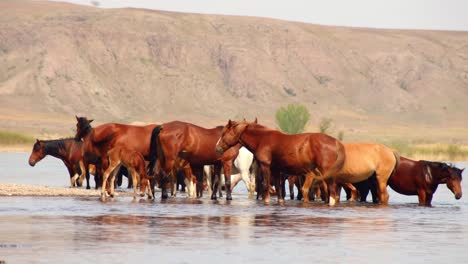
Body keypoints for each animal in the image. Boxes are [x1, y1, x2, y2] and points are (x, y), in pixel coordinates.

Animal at [215, 119, 344, 204]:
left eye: (224, 134)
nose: (217, 148)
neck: (262, 139)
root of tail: (335, 141)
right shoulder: (276, 169)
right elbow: (278, 189)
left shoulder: (266, 166)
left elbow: (265, 186)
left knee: (332, 192)